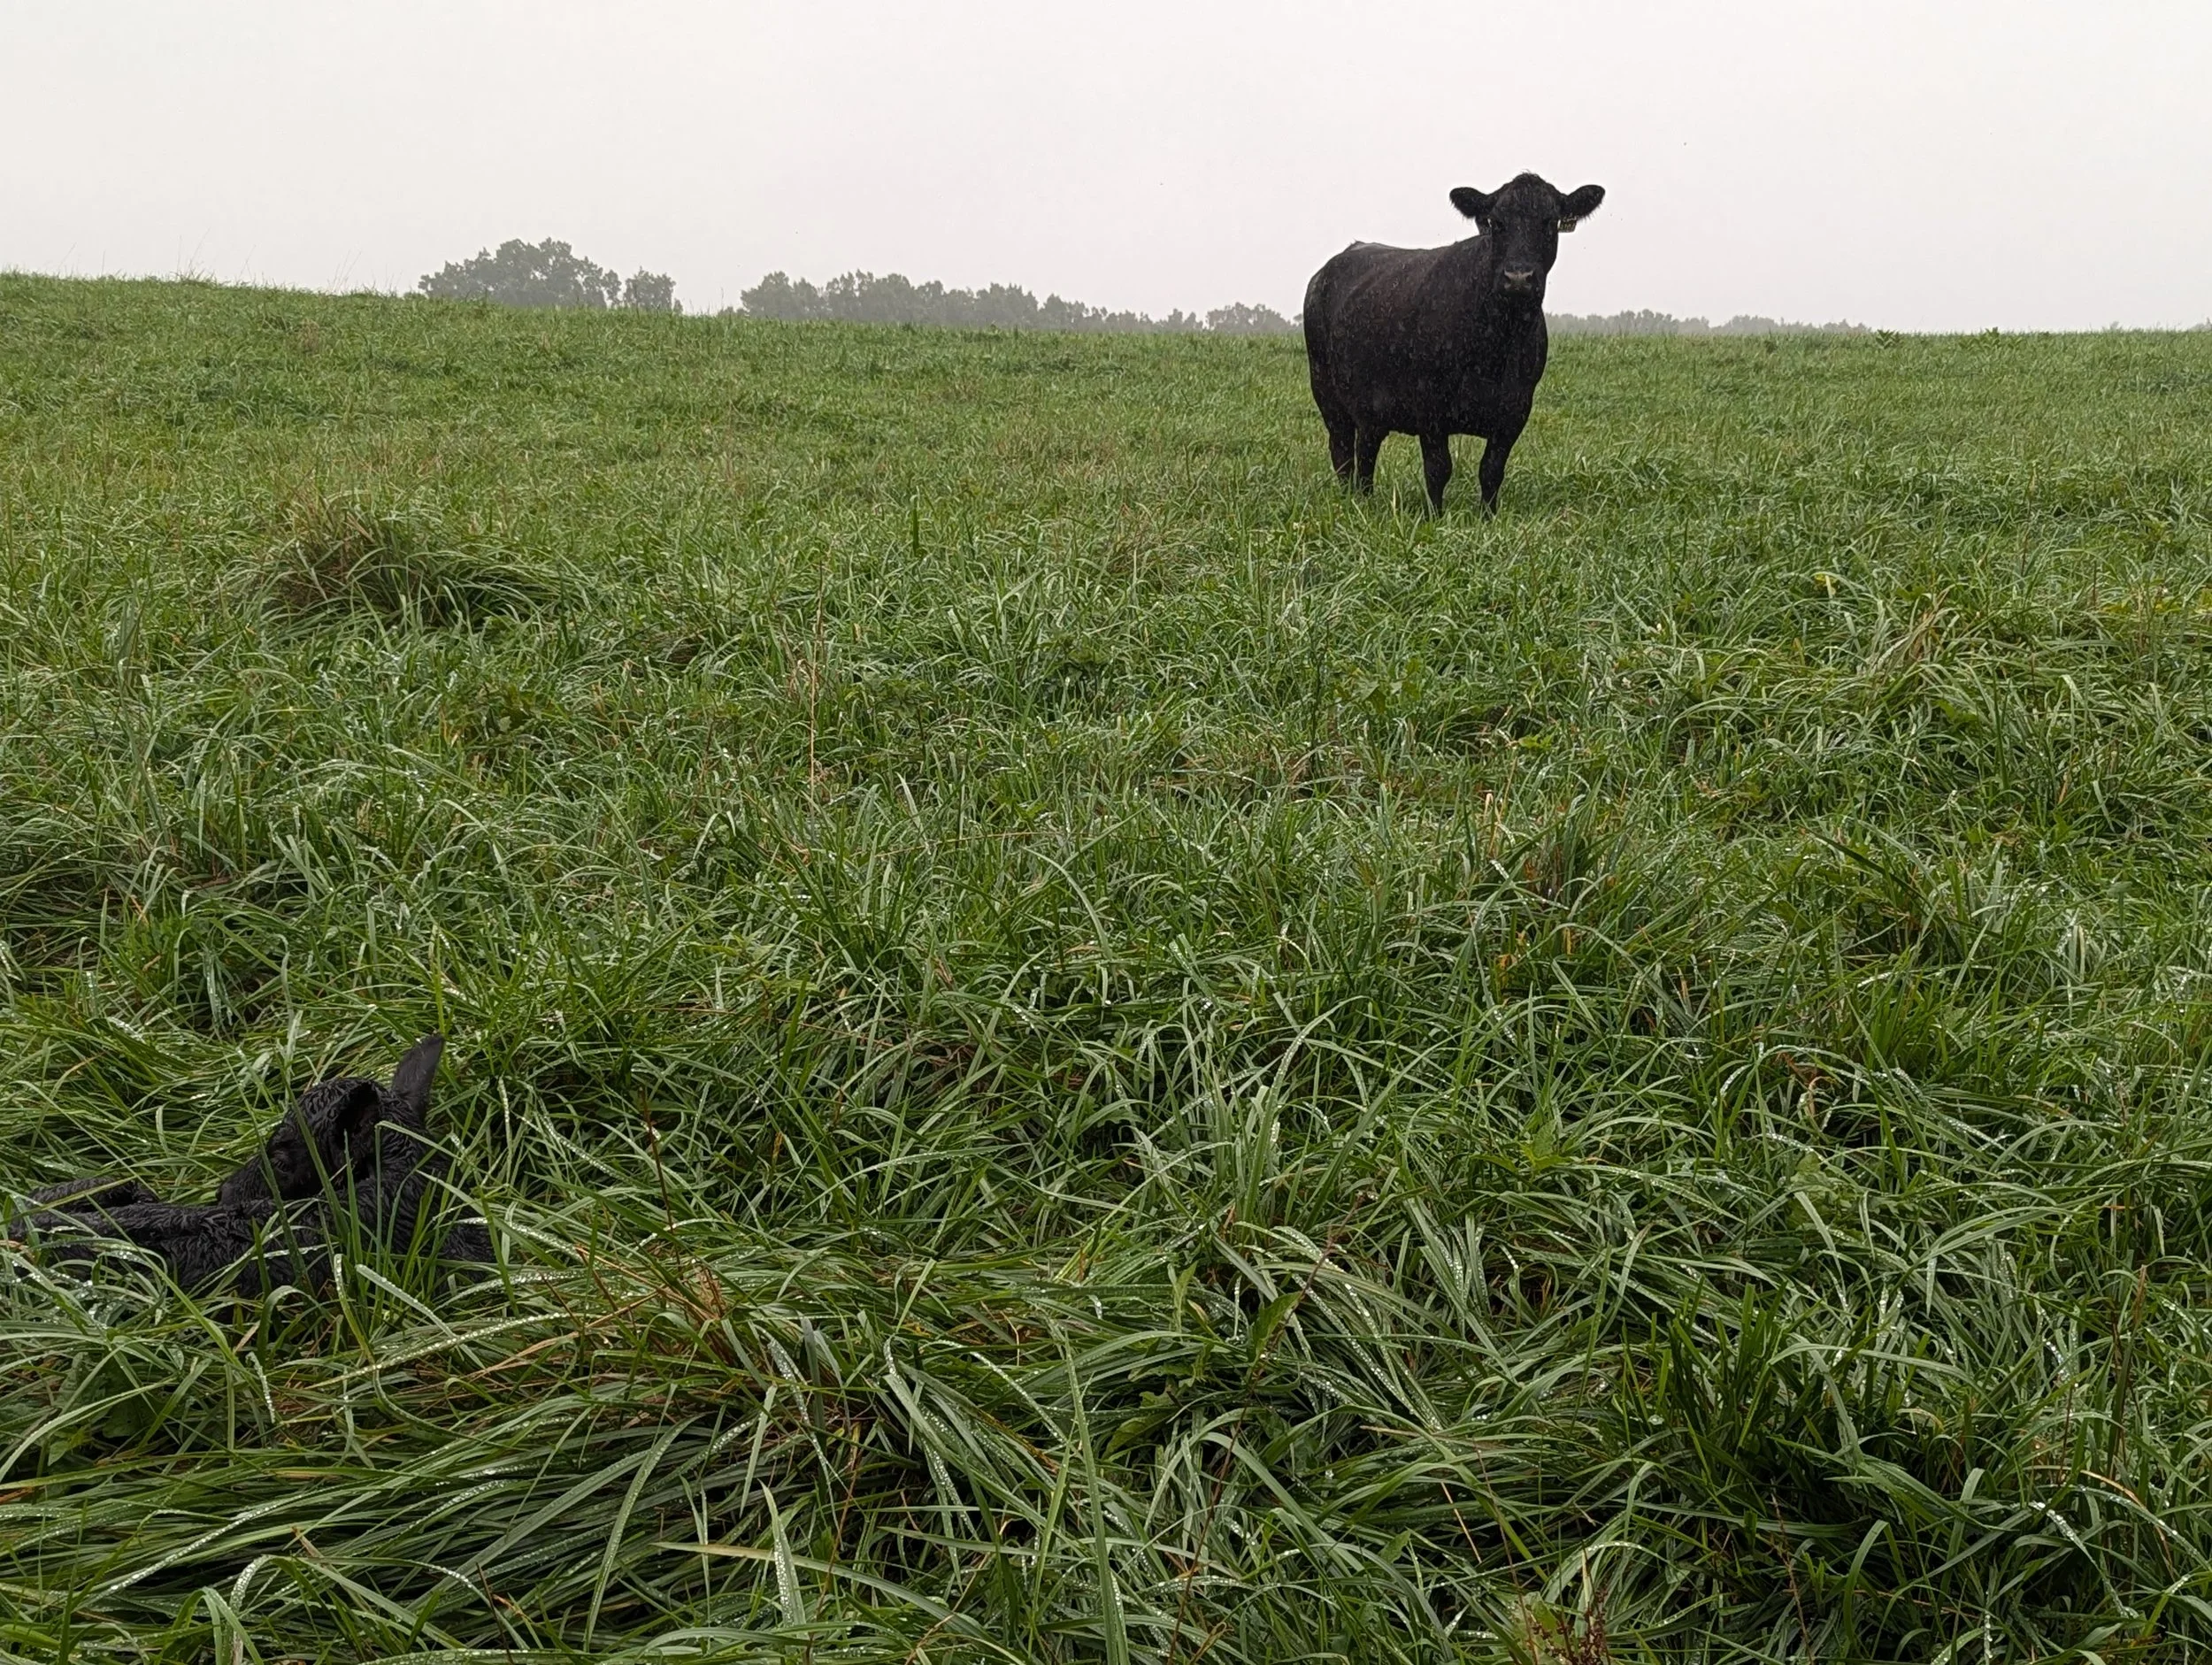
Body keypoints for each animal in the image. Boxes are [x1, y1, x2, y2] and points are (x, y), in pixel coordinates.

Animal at [1303, 171, 1605, 514]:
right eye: (1496, 223)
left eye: (1549, 222)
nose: (1518, 277)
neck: (1496, 346)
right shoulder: (1429, 403)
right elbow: (1438, 468)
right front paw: (1435, 516)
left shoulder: (1516, 409)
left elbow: (1491, 470)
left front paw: (1488, 517)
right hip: (1326, 391)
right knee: (1342, 451)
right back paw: (1347, 502)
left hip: (1371, 404)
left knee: (1366, 449)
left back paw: (1365, 501)